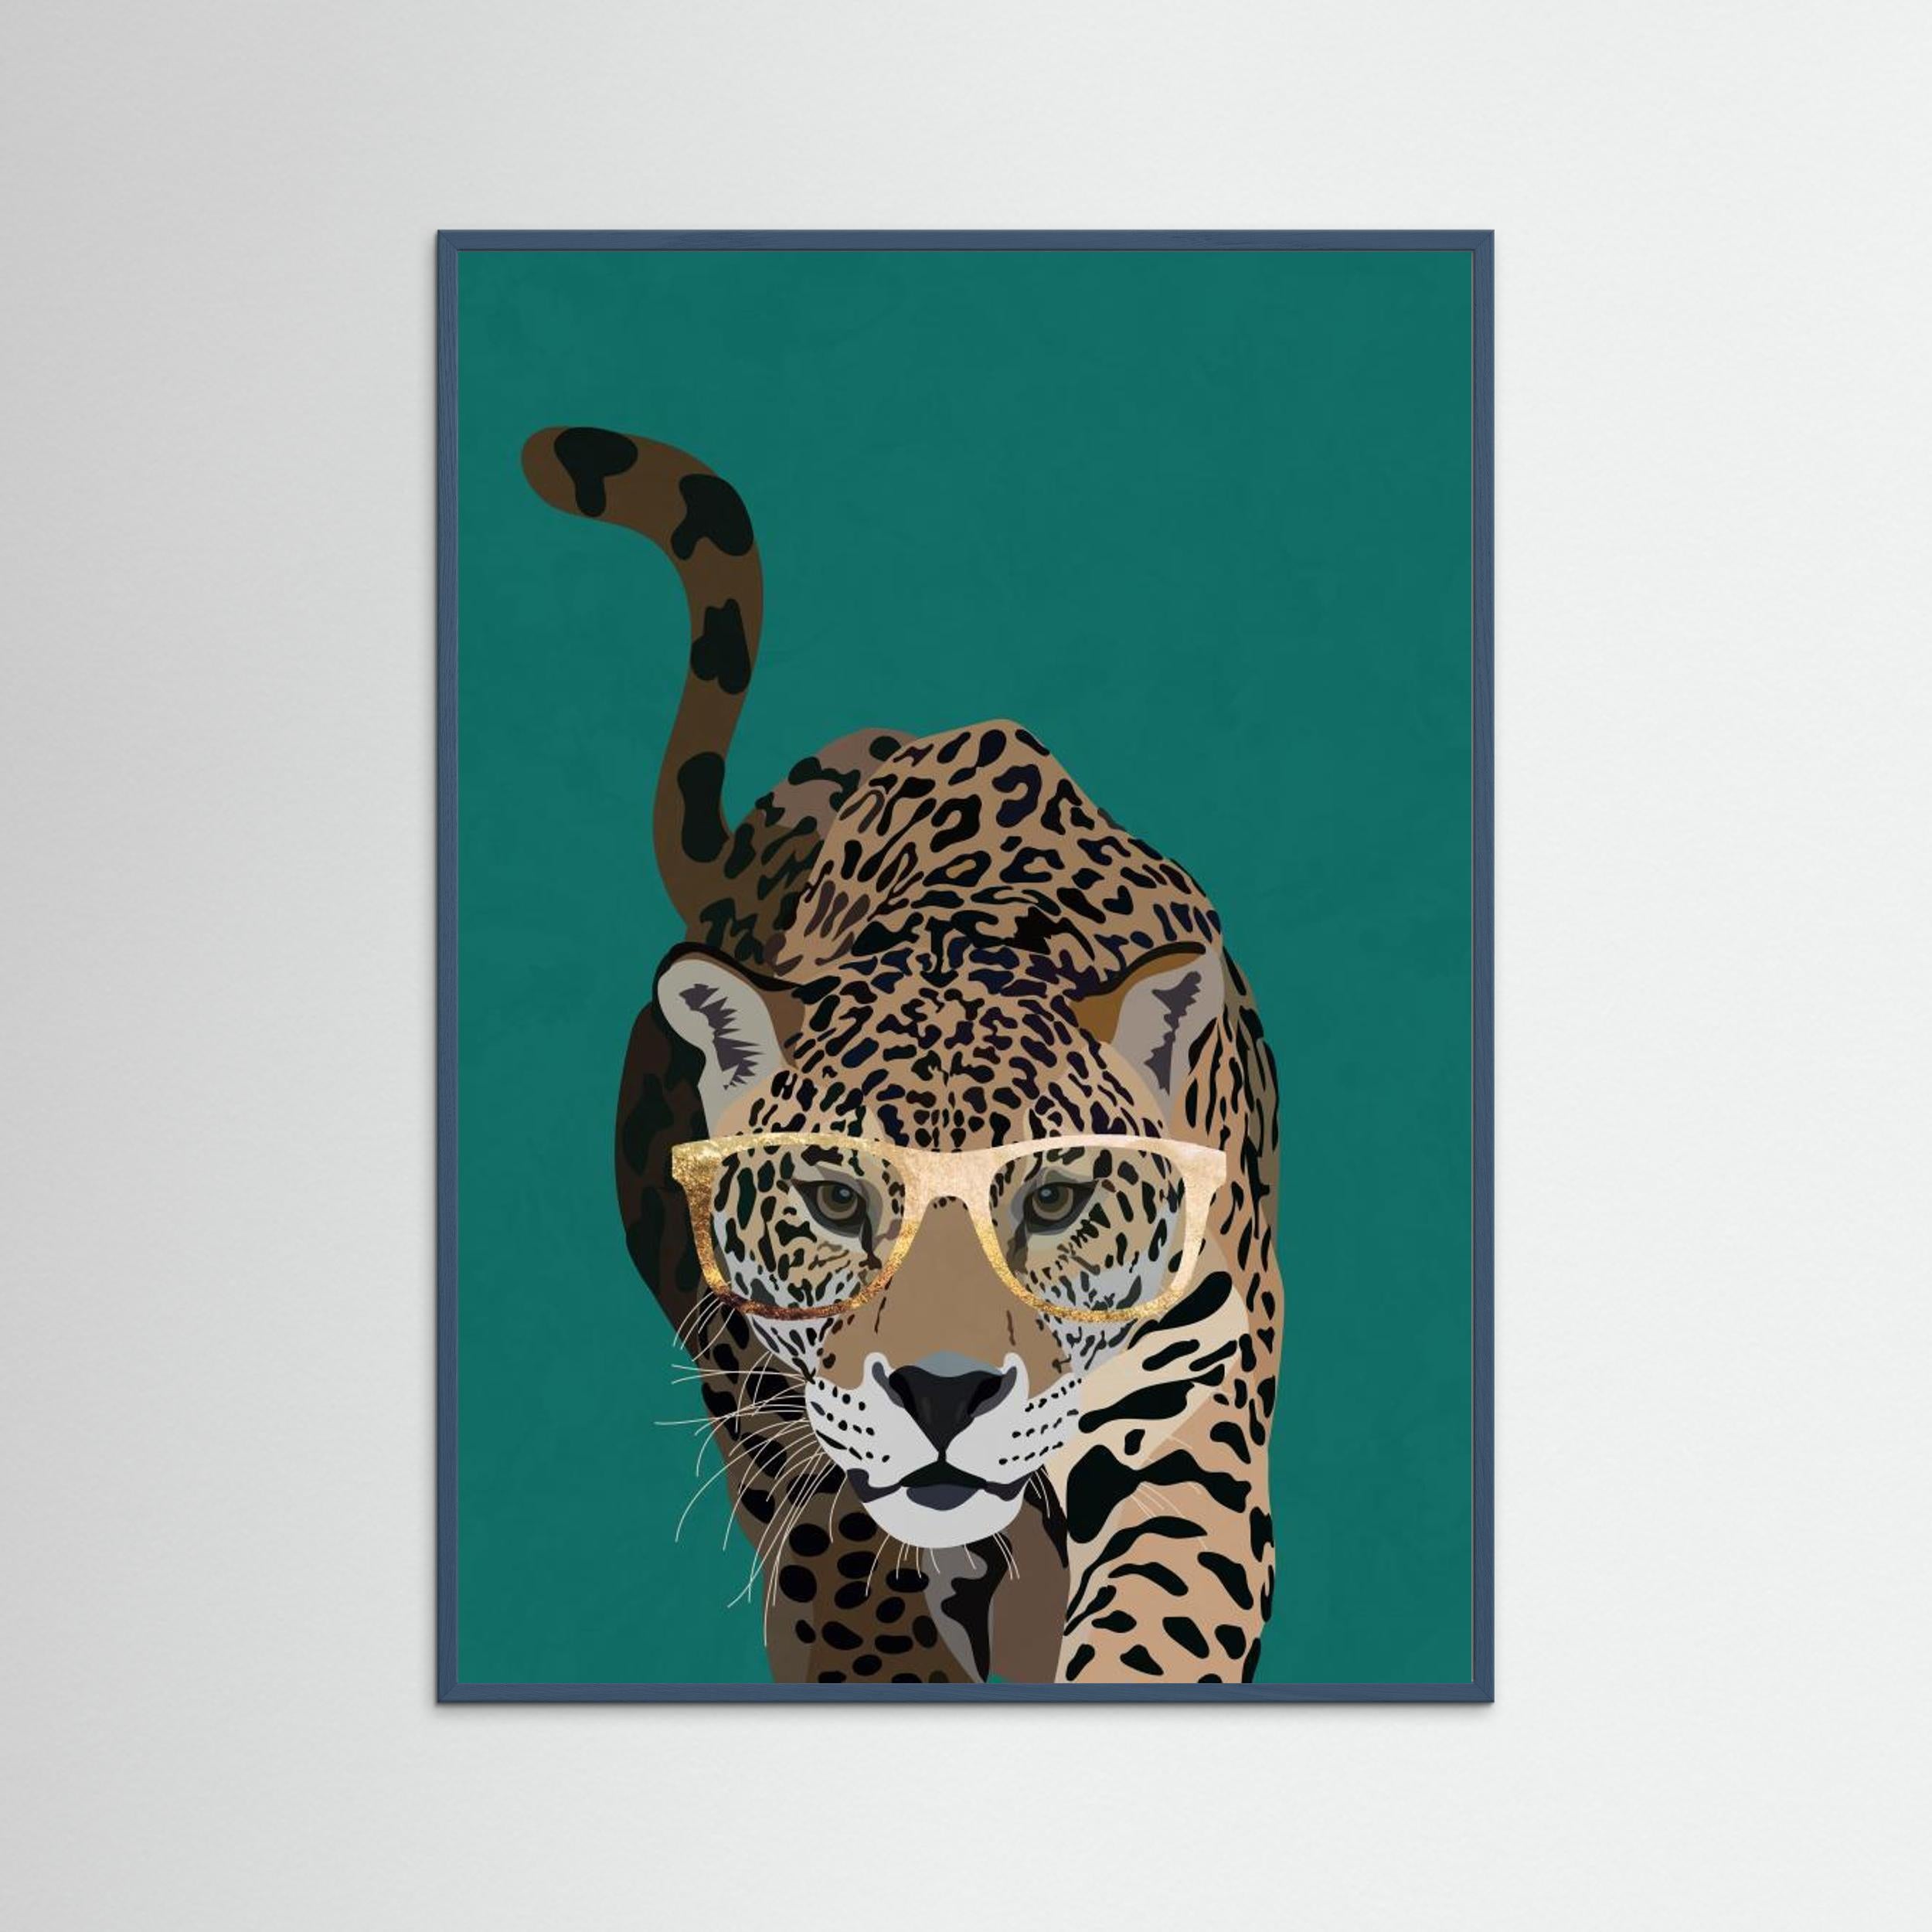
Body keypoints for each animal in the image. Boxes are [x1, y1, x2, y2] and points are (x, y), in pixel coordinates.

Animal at [521, 424, 1283, 1686]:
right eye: (835, 1200)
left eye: (1056, 1200)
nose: (944, 1393)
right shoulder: (789, 1427)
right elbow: (852, 1596)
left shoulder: (1190, 1411)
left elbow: (1160, 1623)